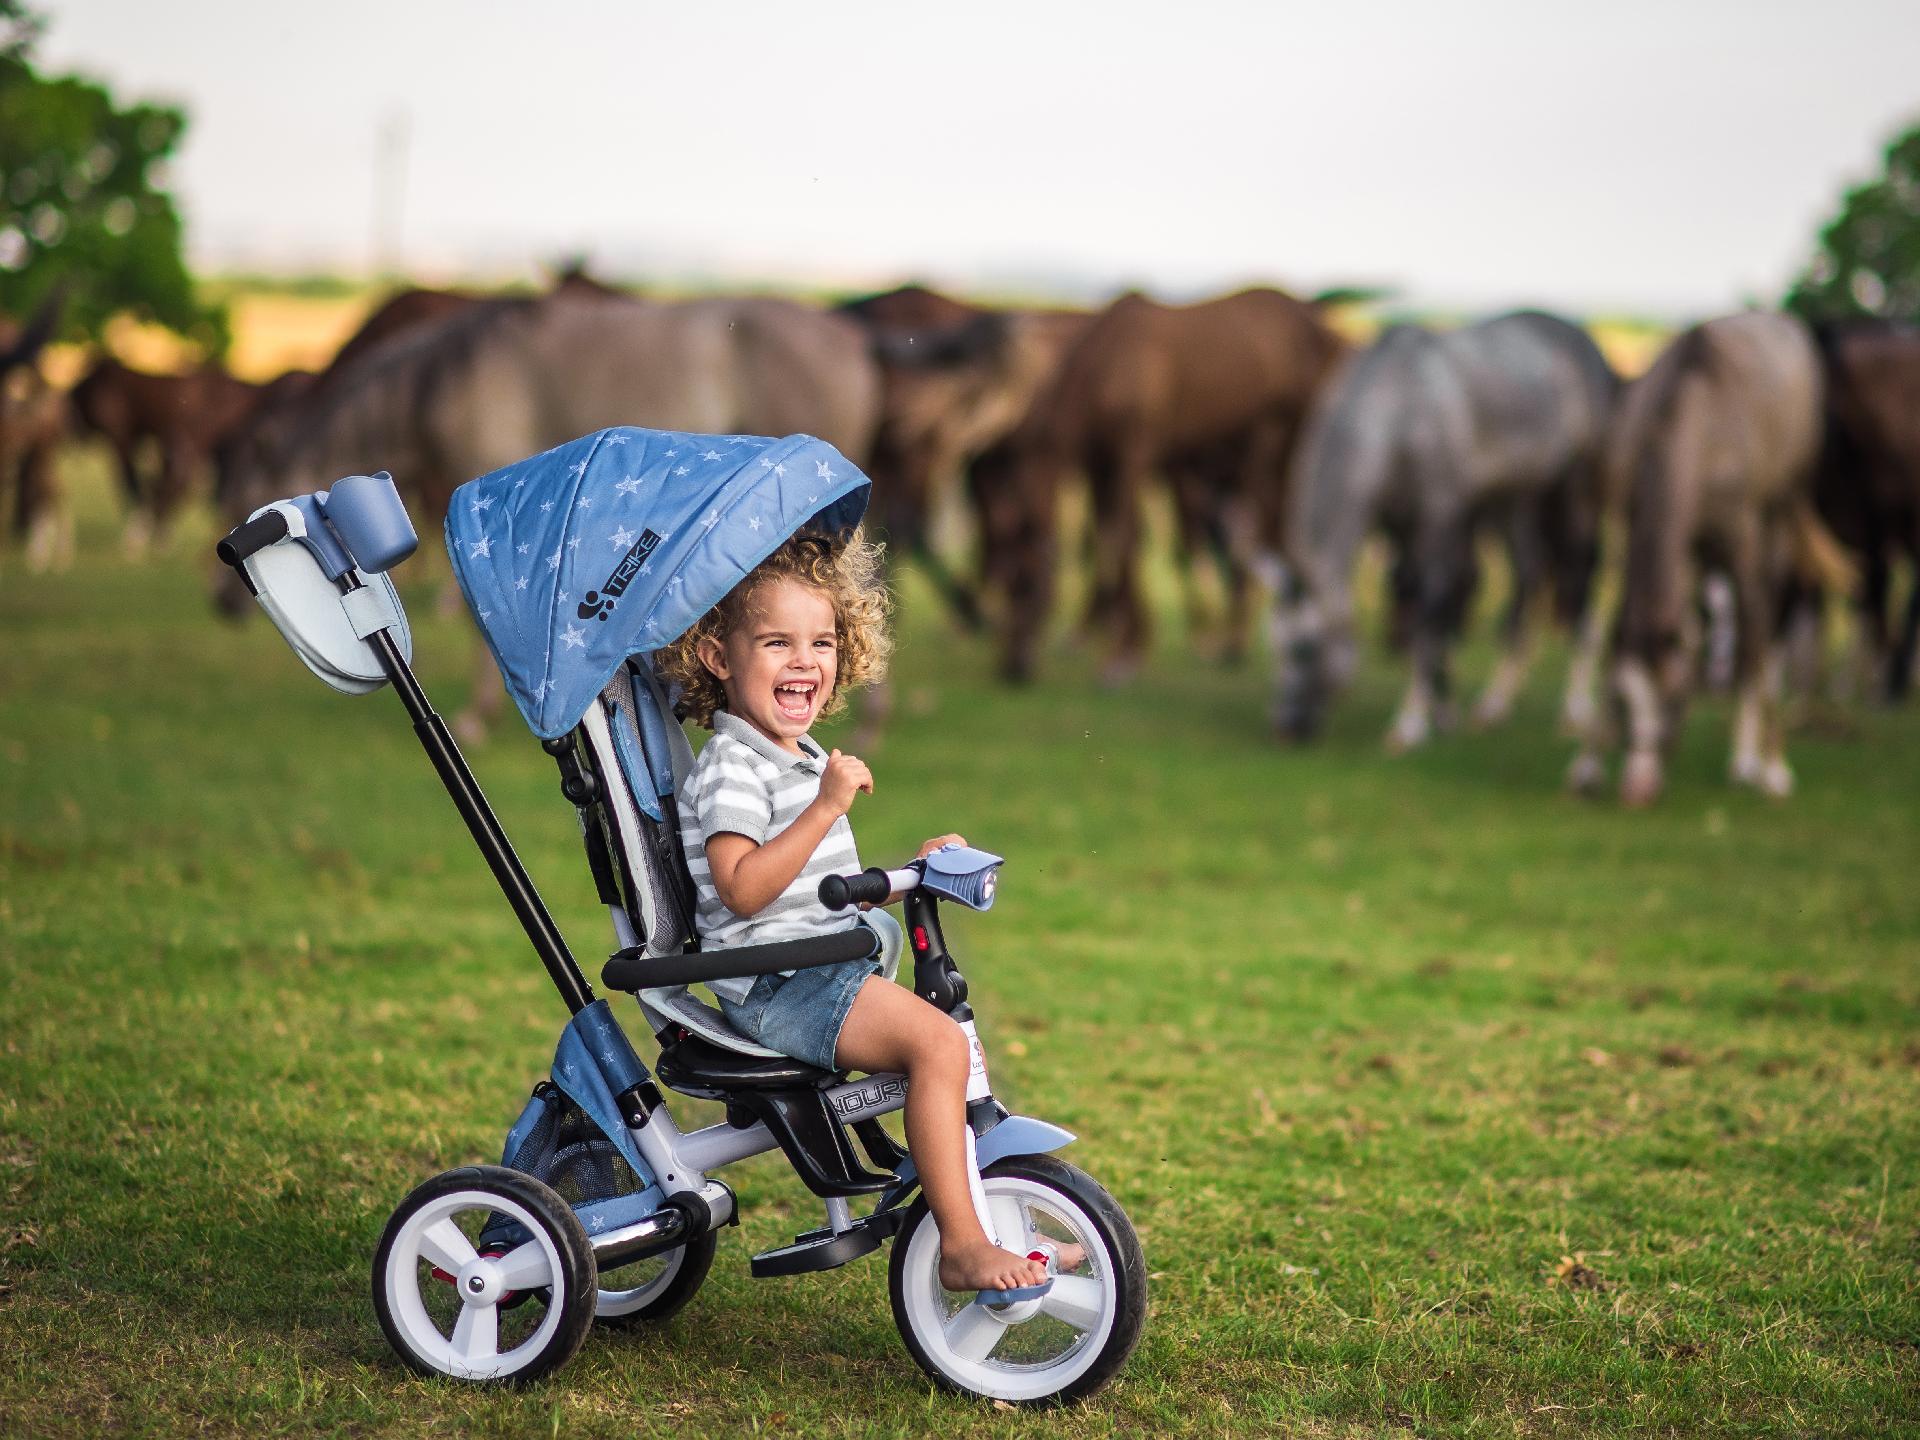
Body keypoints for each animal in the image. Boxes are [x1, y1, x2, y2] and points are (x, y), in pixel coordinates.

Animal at [220, 289, 879, 744]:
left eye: (238, 501)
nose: (222, 604)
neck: (444, 378)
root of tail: (852, 340)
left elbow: (474, 620)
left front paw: (478, 716)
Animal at [1274, 311, 1620, 748]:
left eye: (1303, 650)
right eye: (1277, 648)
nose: (1287, 728)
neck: (1399, 406)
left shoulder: (1437, 521)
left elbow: (1430, 613)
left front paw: (1410, 723)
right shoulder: (1400, 527)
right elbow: (1420, 611)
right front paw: (1443, 712)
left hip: (1574, 492)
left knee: (1578, 585)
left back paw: (1576, 711)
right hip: (1514, 501)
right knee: (1527, 579)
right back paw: (1494, 704)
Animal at [1566, 311, 1850, 806]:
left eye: (1676, 701)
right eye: (1623, 702)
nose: (1636, 789)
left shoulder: (1744, 541)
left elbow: (1754, 641)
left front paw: (1767, 767)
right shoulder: (1629, 526)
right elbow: (1610, 632)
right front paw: (1588, 764)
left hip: (1783, 504)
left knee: (1764, 627)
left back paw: (1753, 760)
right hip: (1691, 550)